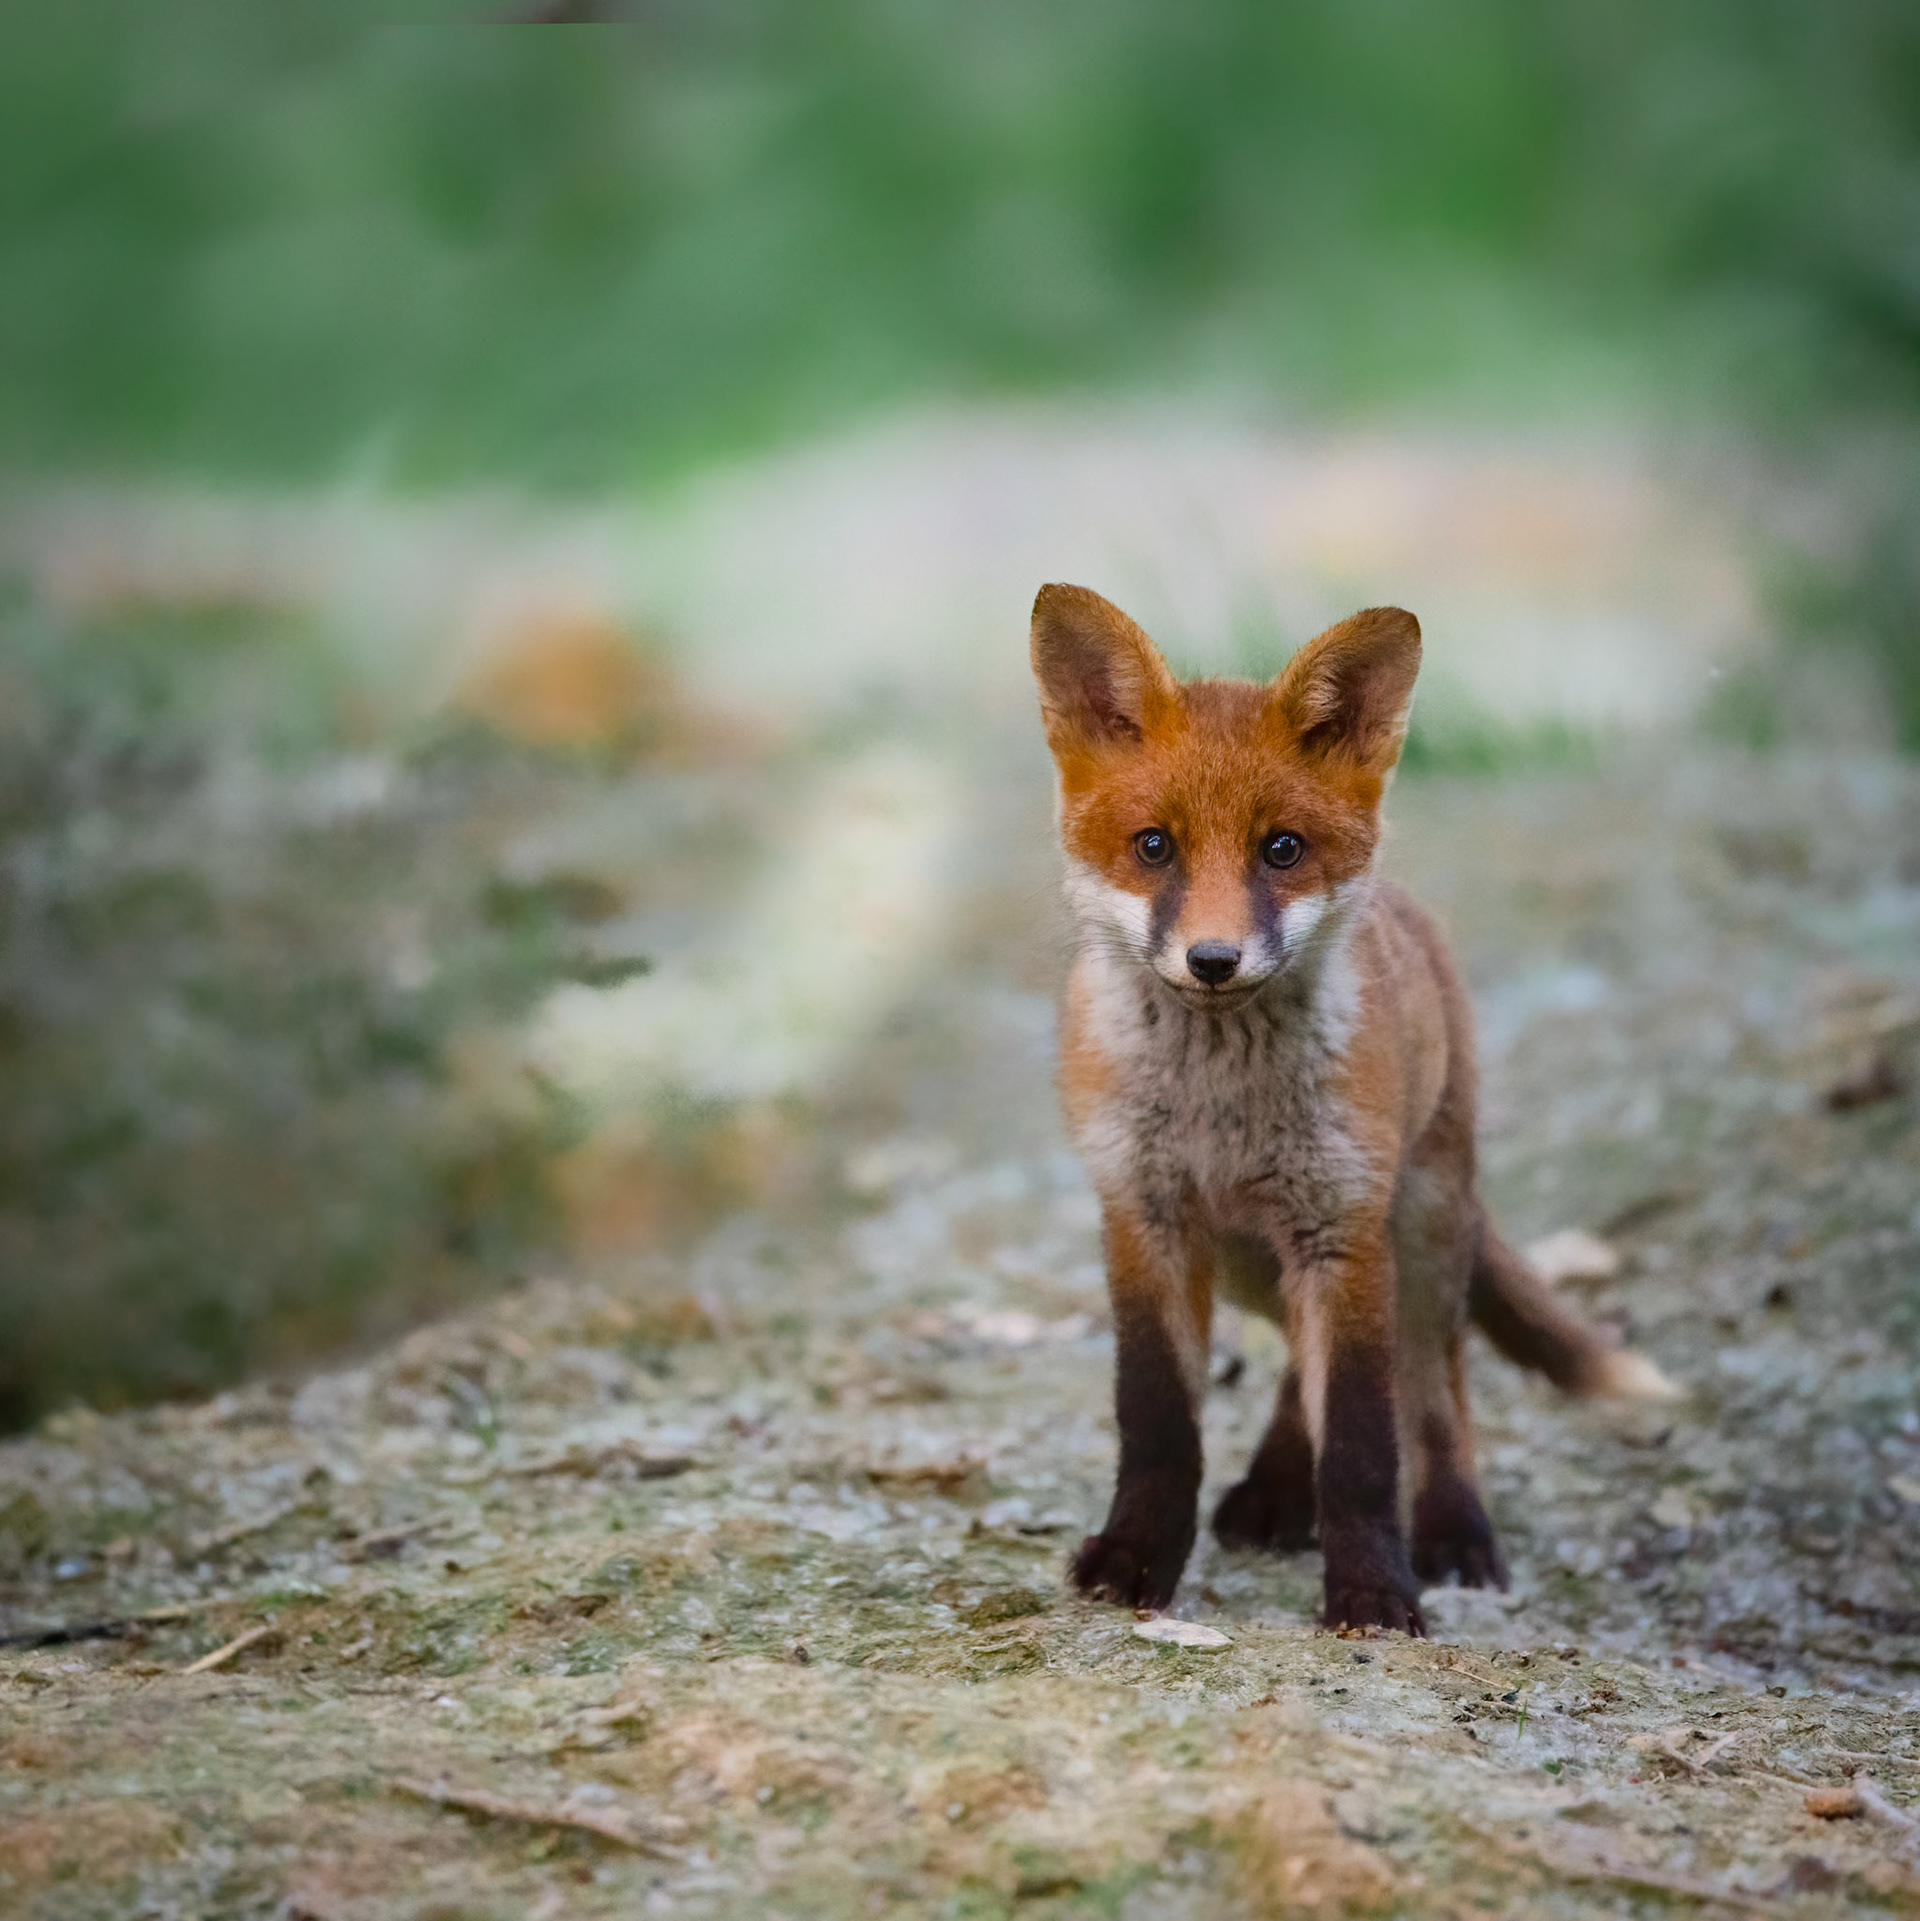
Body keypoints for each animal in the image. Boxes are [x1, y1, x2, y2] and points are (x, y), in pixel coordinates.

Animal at [1030, 583, 1676, 1635]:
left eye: (1282, 850)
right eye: (1154, 846)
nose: (1214, 960)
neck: (1224, 1116)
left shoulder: (1343, 1226)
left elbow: (1367, 1447)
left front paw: (1374, 1590)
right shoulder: (1143, 1216)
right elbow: (1158, 1422)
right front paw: (1136, 1556)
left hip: (1416, 1236)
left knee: (1437, 1394)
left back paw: (1451, 1529)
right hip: (1254, 1263)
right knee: (1301, 1363)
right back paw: (1274, 1491)